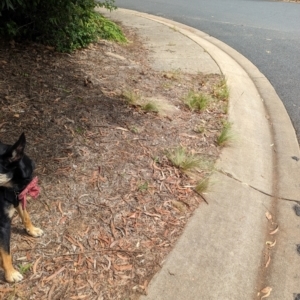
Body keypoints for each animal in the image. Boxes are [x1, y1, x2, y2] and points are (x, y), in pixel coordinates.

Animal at [0, 133, 43, 282]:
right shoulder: (3, 224)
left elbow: (26, 216)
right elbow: (6, 252)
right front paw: (11, 274)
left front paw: (32, 230)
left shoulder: (19, 197)